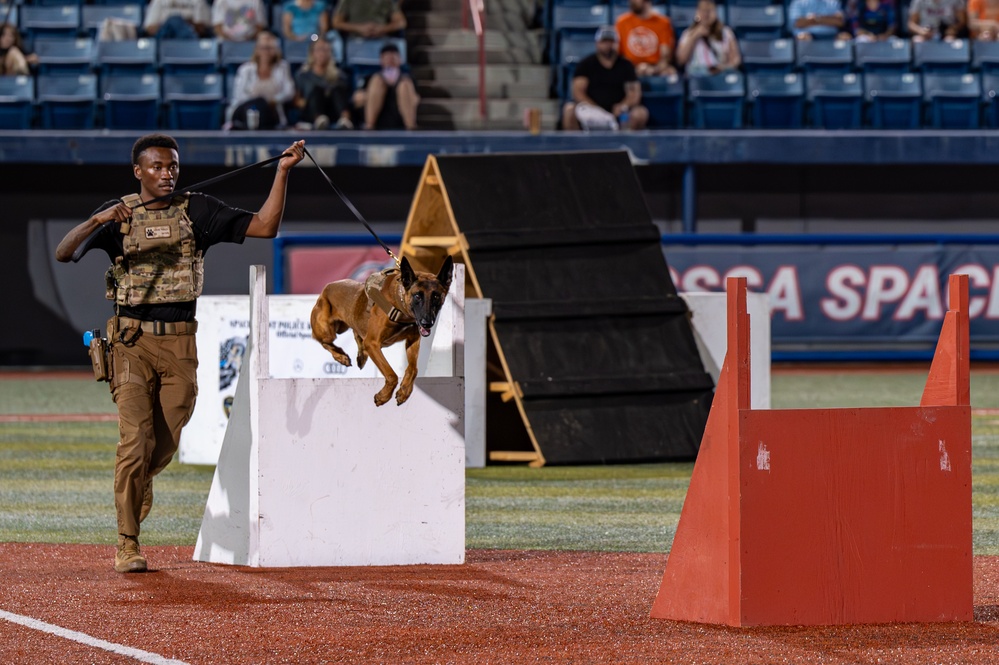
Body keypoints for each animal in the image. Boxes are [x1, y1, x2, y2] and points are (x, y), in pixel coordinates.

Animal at [310, 255, 456, 404]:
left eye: (436, 296)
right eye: (417, 296)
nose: (427, 323)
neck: (400, 303)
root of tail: (327, 287)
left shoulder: (413, 341)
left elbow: (413, 369)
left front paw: (404, 391)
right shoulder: (373, 343)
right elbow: (391, 374)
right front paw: (384, 396)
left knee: (356, 333)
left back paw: (361, 355)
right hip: (327, 330)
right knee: (324, 341)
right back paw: (341, 356)